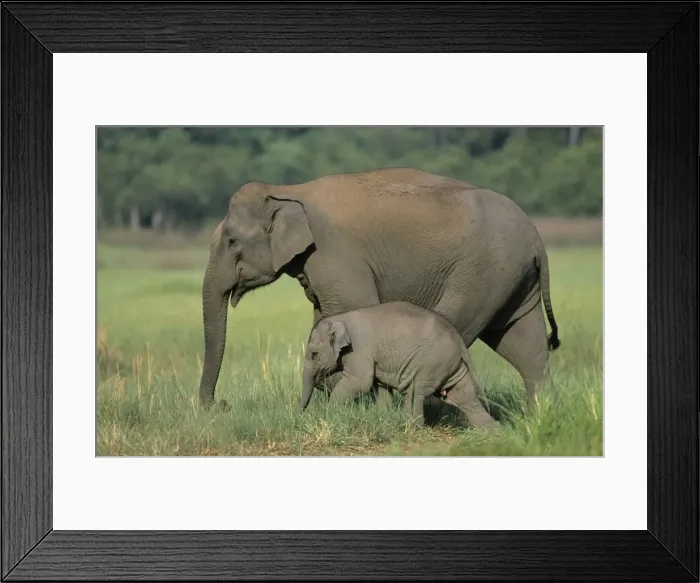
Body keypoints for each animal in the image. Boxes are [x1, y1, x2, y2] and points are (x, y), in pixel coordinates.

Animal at [198, 167, 560, 412]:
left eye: (232, 242)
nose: (221, 406)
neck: (286, 189)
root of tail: (537, 238)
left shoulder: (335, 255)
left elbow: (353, 308)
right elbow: (324, 319)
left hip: (483, 271)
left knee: (457, 327)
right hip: (513, 279)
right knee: (525, 345)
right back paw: (537, 417)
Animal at [299, 301, 497, 428]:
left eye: (314, 354)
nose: (300, 415)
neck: (339, 318)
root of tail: (459, 340)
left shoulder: (360, 349)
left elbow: (360, 381)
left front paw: (329, 413)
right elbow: (381, 387)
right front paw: (381, 417)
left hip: (432, 363)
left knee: (415, 391)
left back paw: (411, 426)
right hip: (451, 365)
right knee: (465, 397)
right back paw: (492, 433)